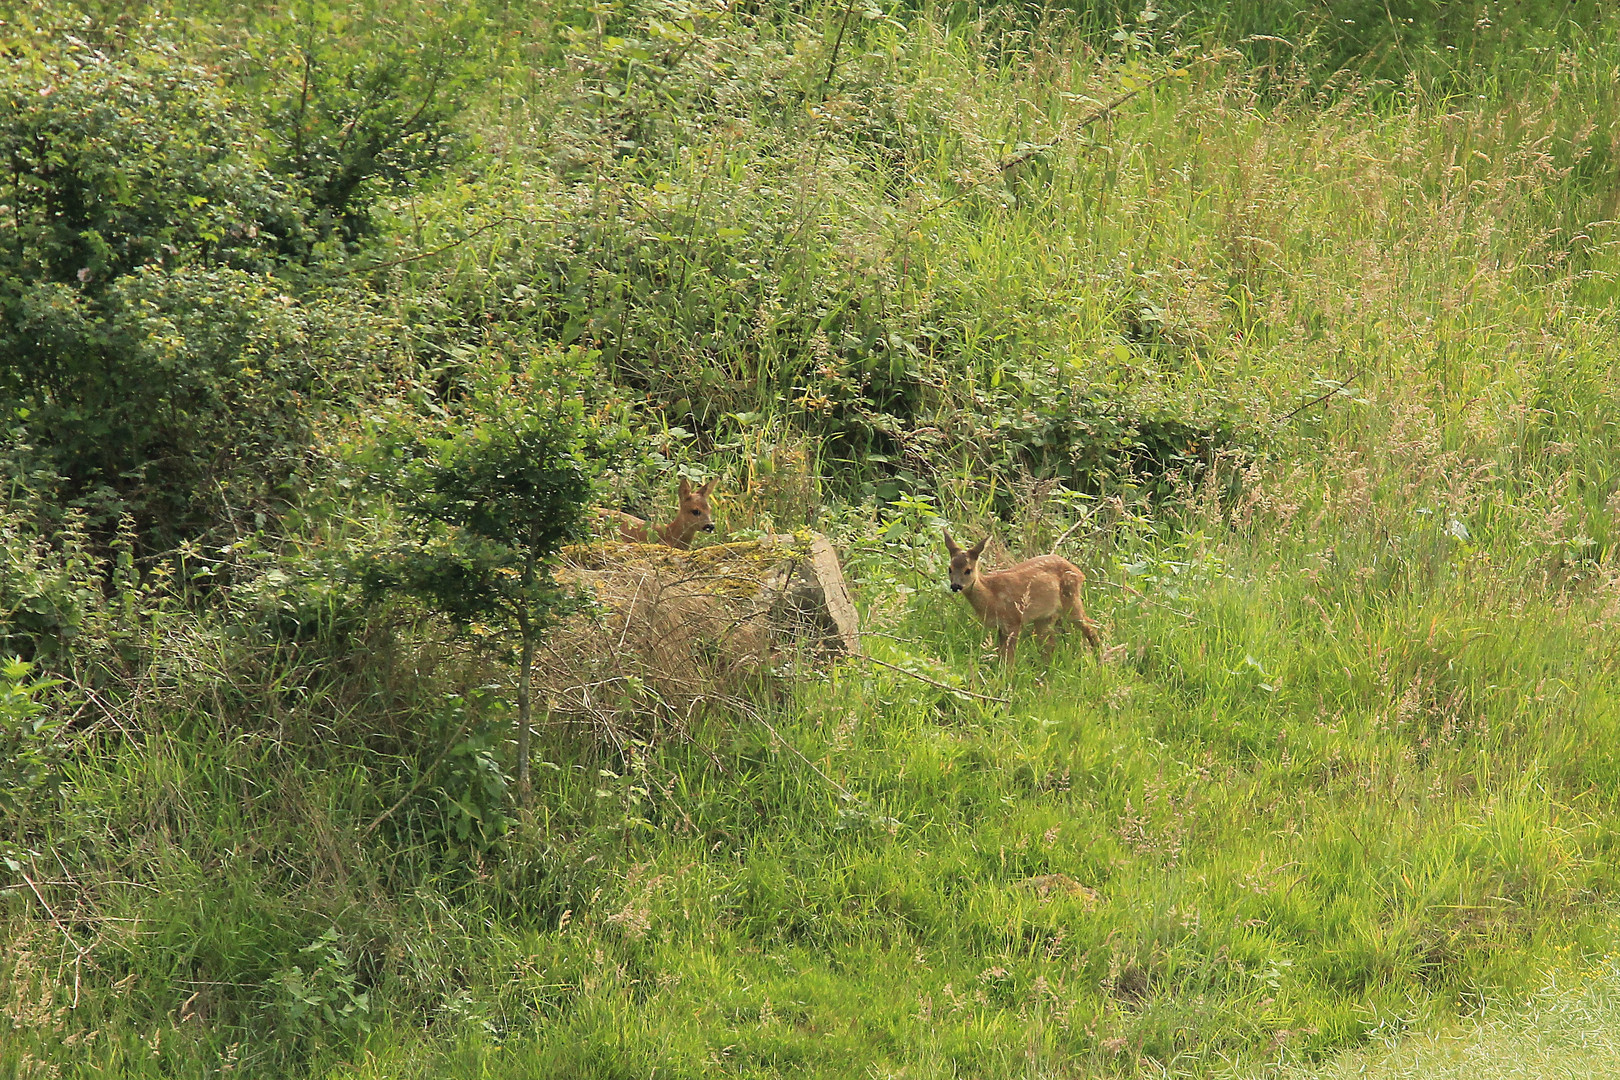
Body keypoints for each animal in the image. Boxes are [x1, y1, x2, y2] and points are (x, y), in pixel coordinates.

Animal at [946, 534, 1101, 667]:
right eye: (950, 569)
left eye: (968, 570)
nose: (955, 586)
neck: (992, 595)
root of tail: (1080, 573)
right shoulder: (1002, 626)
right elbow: (1002, 656)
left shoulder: (1014, 620)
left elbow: (1009, 658)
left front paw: (1007, 677)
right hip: (1044, 617)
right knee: (1049, 646)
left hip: (1071, 601)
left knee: (1091, 628)